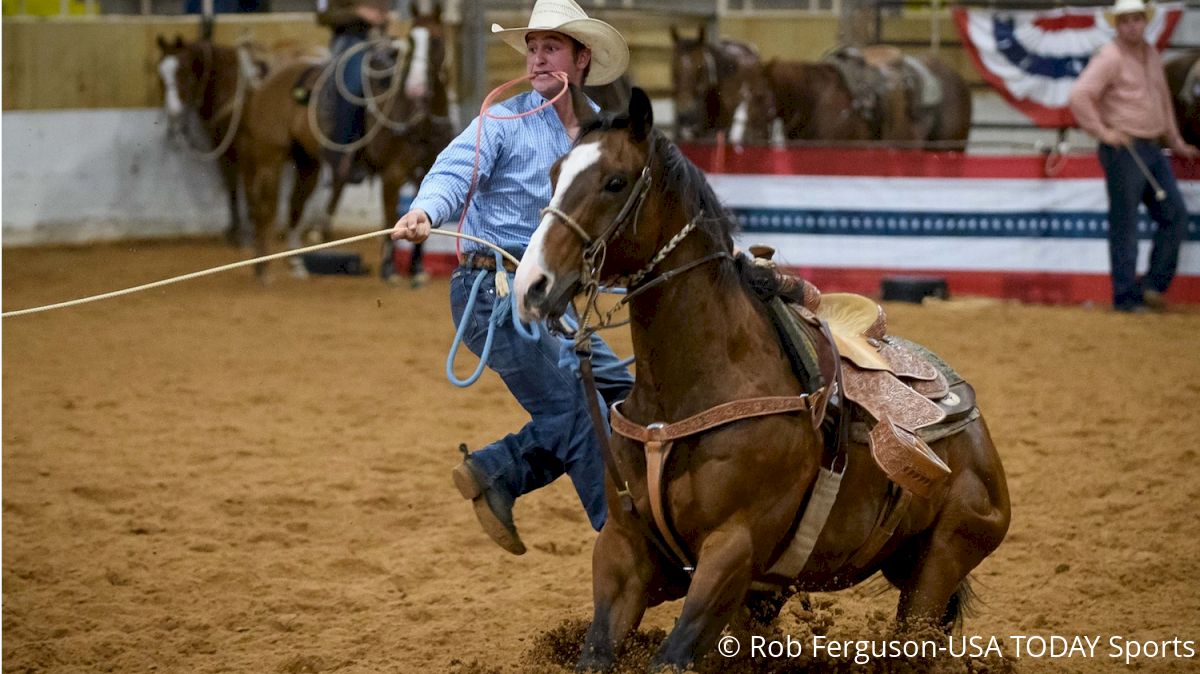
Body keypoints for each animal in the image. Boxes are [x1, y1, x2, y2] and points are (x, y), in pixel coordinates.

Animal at [156, 35, 271, 245]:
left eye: (182, 69)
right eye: (160, 72)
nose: (174, 111)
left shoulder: (244, 151)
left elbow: (247, 189)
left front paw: (248, 232)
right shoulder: (222, 147)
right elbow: (231, 185)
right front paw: (234, 230)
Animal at [236, 1, 451, 280]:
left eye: (436, 40)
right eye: (411, 41)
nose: (415, 87)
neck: (417, 114)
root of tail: (265, 84)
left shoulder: (424, 170)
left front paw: (416, 270)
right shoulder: (392, 173)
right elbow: (390, 217)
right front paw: (389, 270)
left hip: (307, 164)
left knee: (295, 205)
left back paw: (296, 263)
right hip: (270, 158)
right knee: (265, 209)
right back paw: (262, 269)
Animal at [511, 86, 1008, 666]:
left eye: (614, 181)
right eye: (554, 173)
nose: (532, 284)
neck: (690, 391)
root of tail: (974, 425)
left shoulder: (732, 550)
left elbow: (672, 657)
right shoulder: (624, 548)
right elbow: (596, 651)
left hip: (943, 559)